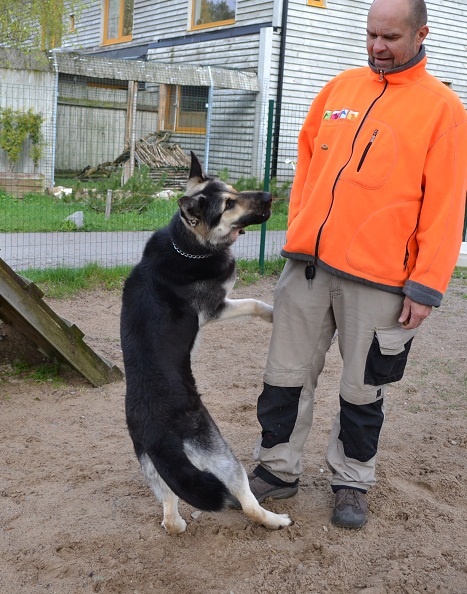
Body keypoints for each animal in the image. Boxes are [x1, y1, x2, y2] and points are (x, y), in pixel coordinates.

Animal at [120, 152, 291, 534]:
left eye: (234, 190)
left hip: (158, 469)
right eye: (228, 205)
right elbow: (255, 303)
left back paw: (178, 525)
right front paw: (275, 314)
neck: (185, 244)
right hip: (221, 455)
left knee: (169, 511)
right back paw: (275, 520)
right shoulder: (218, 306)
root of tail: (157, 431)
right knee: (247, 503)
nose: (269, 195)